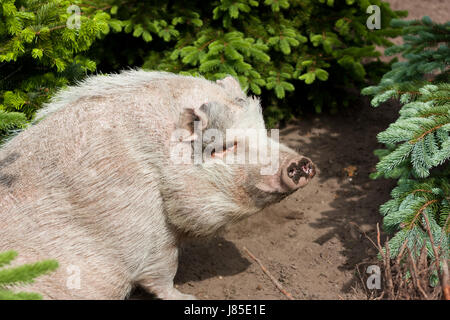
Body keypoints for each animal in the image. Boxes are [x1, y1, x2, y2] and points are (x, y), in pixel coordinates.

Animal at [0, 70, 316, 300]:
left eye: (264, 131)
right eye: (225, 147)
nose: (299, 163)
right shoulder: (145, 227)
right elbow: (161, 272)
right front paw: (190, 298)